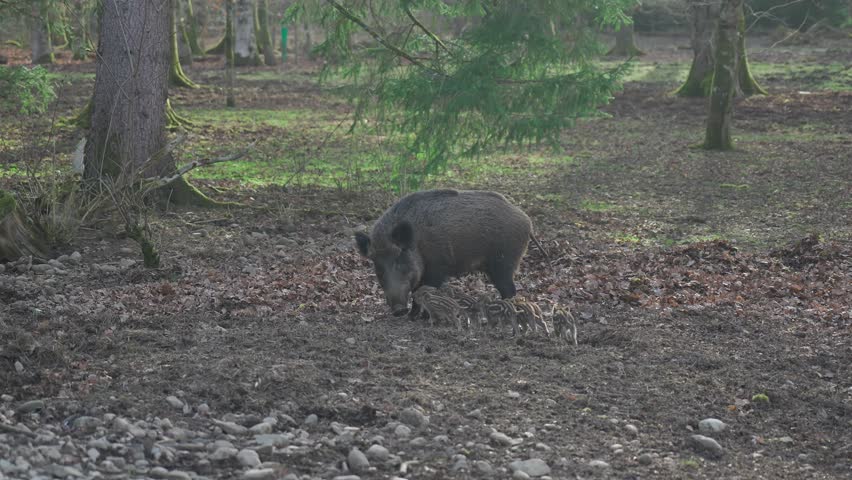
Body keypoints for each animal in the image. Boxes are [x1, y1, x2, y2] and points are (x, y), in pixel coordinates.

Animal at [354, 189, 534, 316]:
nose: (399, 310)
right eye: (378, 265)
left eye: (400, 258)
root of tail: (526, 220)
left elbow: (423, 293)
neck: (418, 243)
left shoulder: (437, 269)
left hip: (504, 263)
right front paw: (413, 316)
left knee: (509, 290)